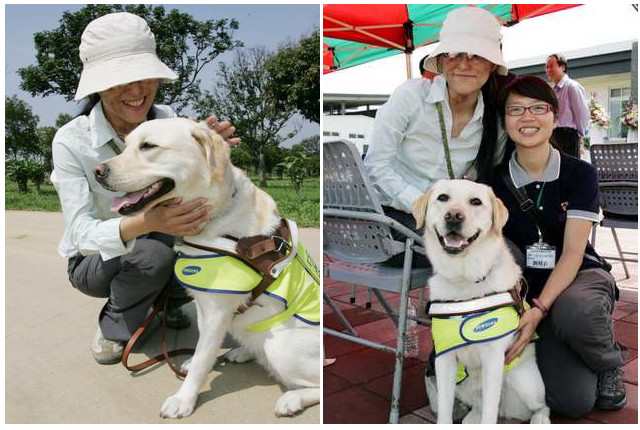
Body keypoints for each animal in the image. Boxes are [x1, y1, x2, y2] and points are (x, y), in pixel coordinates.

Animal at [94, 118, 320, 420]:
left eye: (148, 146)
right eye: (126, 145)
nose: (98, 171)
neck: (217, 218)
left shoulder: (217, 311)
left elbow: (203, 357)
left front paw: (183, 399)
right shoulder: (203, 305)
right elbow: (202, 348)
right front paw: (192, 365)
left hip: (279, 346)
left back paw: (291, 399)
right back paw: (243, 352)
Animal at [416, 178, 552, 424]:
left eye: (476, 202)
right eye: (443, 198)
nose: (454, 216)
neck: (464, 282)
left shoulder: (493, 359)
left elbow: (490, 413)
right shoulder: (444, 360)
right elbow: (444, 412)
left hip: (524, 383)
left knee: (540, 407)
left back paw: (539, 420)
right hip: (463, 385)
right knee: (479, 406)